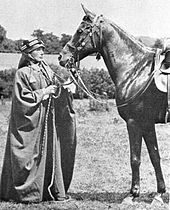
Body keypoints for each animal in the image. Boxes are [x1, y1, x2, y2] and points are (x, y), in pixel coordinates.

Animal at [58, 5, 166, 199]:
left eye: (80, 31)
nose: (62, 57)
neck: (134, 69)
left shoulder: (134, 122)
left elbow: (135, 158)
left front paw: (134, 192)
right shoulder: (147, 123)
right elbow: (155, 156)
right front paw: (160, 191)